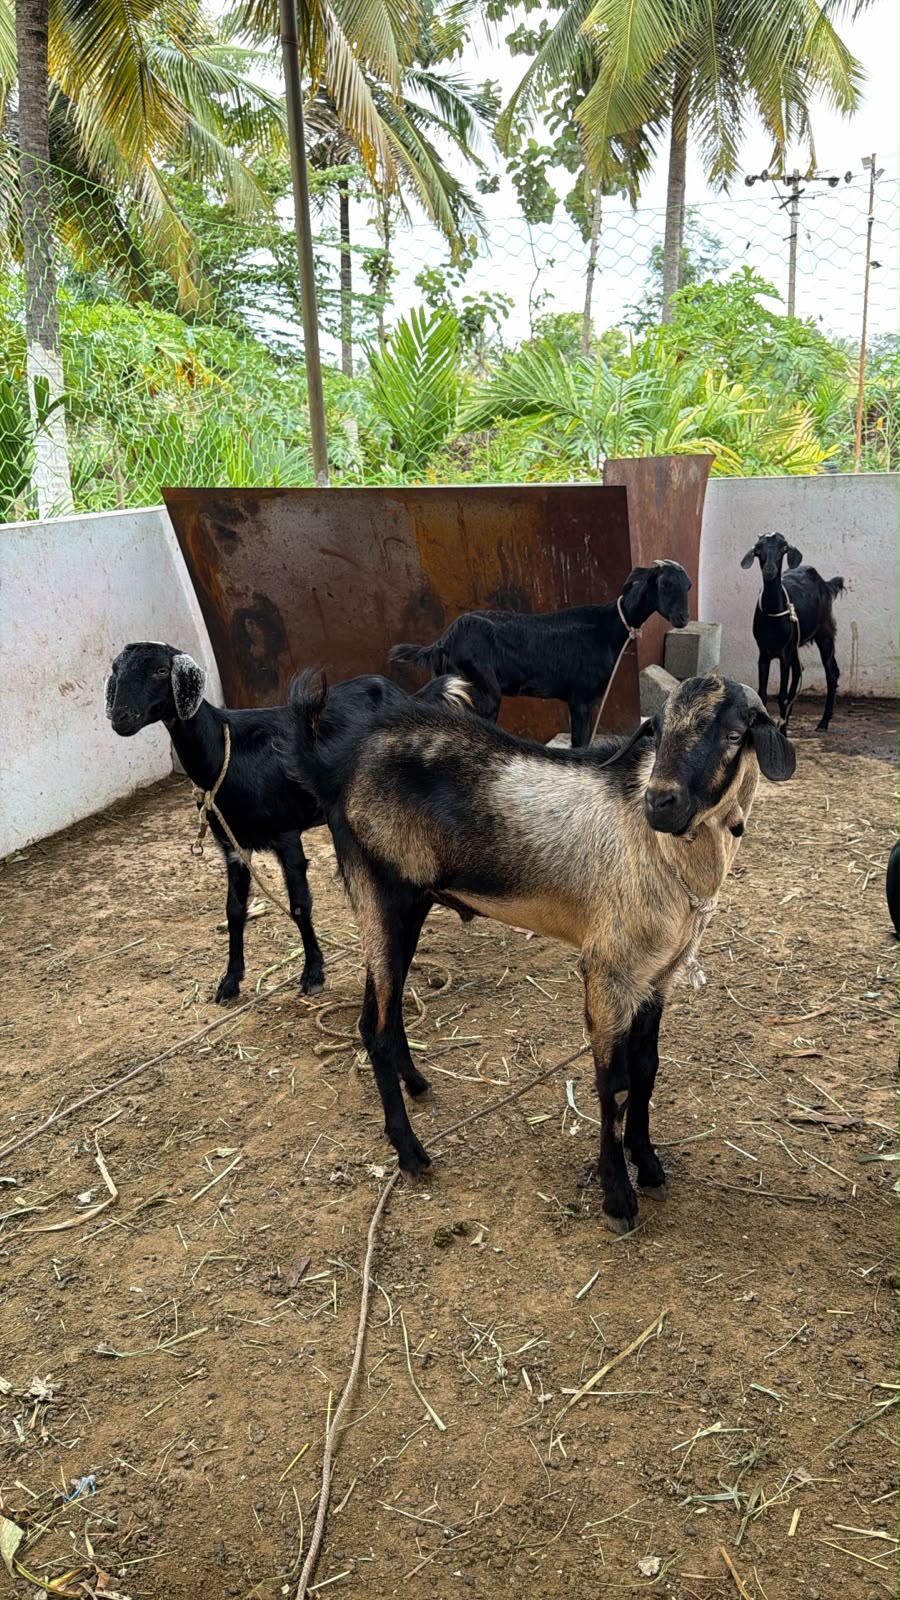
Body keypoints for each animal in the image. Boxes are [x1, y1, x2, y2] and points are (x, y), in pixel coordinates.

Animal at [105, 642, 470, 1004]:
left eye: (160, 670)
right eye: (117, 670)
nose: (120, 718)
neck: (224, 754)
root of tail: (406, 695)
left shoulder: (286, 835)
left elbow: (299, 906)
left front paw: (313, 974)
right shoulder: (234, 845)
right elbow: (234, 910)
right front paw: (230, 981)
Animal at [289, 669, 795, 1233]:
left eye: (734, 734)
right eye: (658, 729)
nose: (660, 803)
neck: (661, 850)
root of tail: (336, 764)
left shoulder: (656, 976)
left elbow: (647, 1071)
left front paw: (649, 1166)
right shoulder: (608, 969)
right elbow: (615, 1085)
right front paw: (618, 1197)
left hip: (409, 904)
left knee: (382, 1011)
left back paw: (418, 1084)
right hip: (379, 892)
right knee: (374, 1027)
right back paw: (411, 1153)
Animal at [389, 560, 692, 748]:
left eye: (688, 586)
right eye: (664, 584)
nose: (682, 618)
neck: (608, 627)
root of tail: (442, 642)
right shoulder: (582, 699)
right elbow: (580, 744)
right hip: (483, 691)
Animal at [740, 532, 844, 731]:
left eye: (783, 548)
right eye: (758, 549)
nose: (769, 570)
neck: (773, 614)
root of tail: (825, 583)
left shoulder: (784, 654)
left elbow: (781, 696)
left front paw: (782, 732)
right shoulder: (764, 653)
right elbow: (763, 694)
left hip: (824, 631)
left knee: (831, 672)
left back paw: (823, 722)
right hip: (795, 644)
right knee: (798, 672)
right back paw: (786, 721)